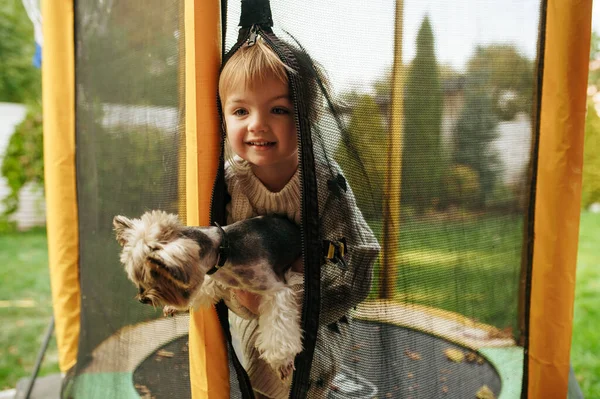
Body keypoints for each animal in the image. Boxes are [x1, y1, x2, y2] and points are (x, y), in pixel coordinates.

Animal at [114, 211, 304, 380]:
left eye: (157, 280)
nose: (143, 299)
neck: (224, 250)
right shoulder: (217, 279)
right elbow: (204, 288)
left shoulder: (276, 289)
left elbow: (278, 324)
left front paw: (281, 361)